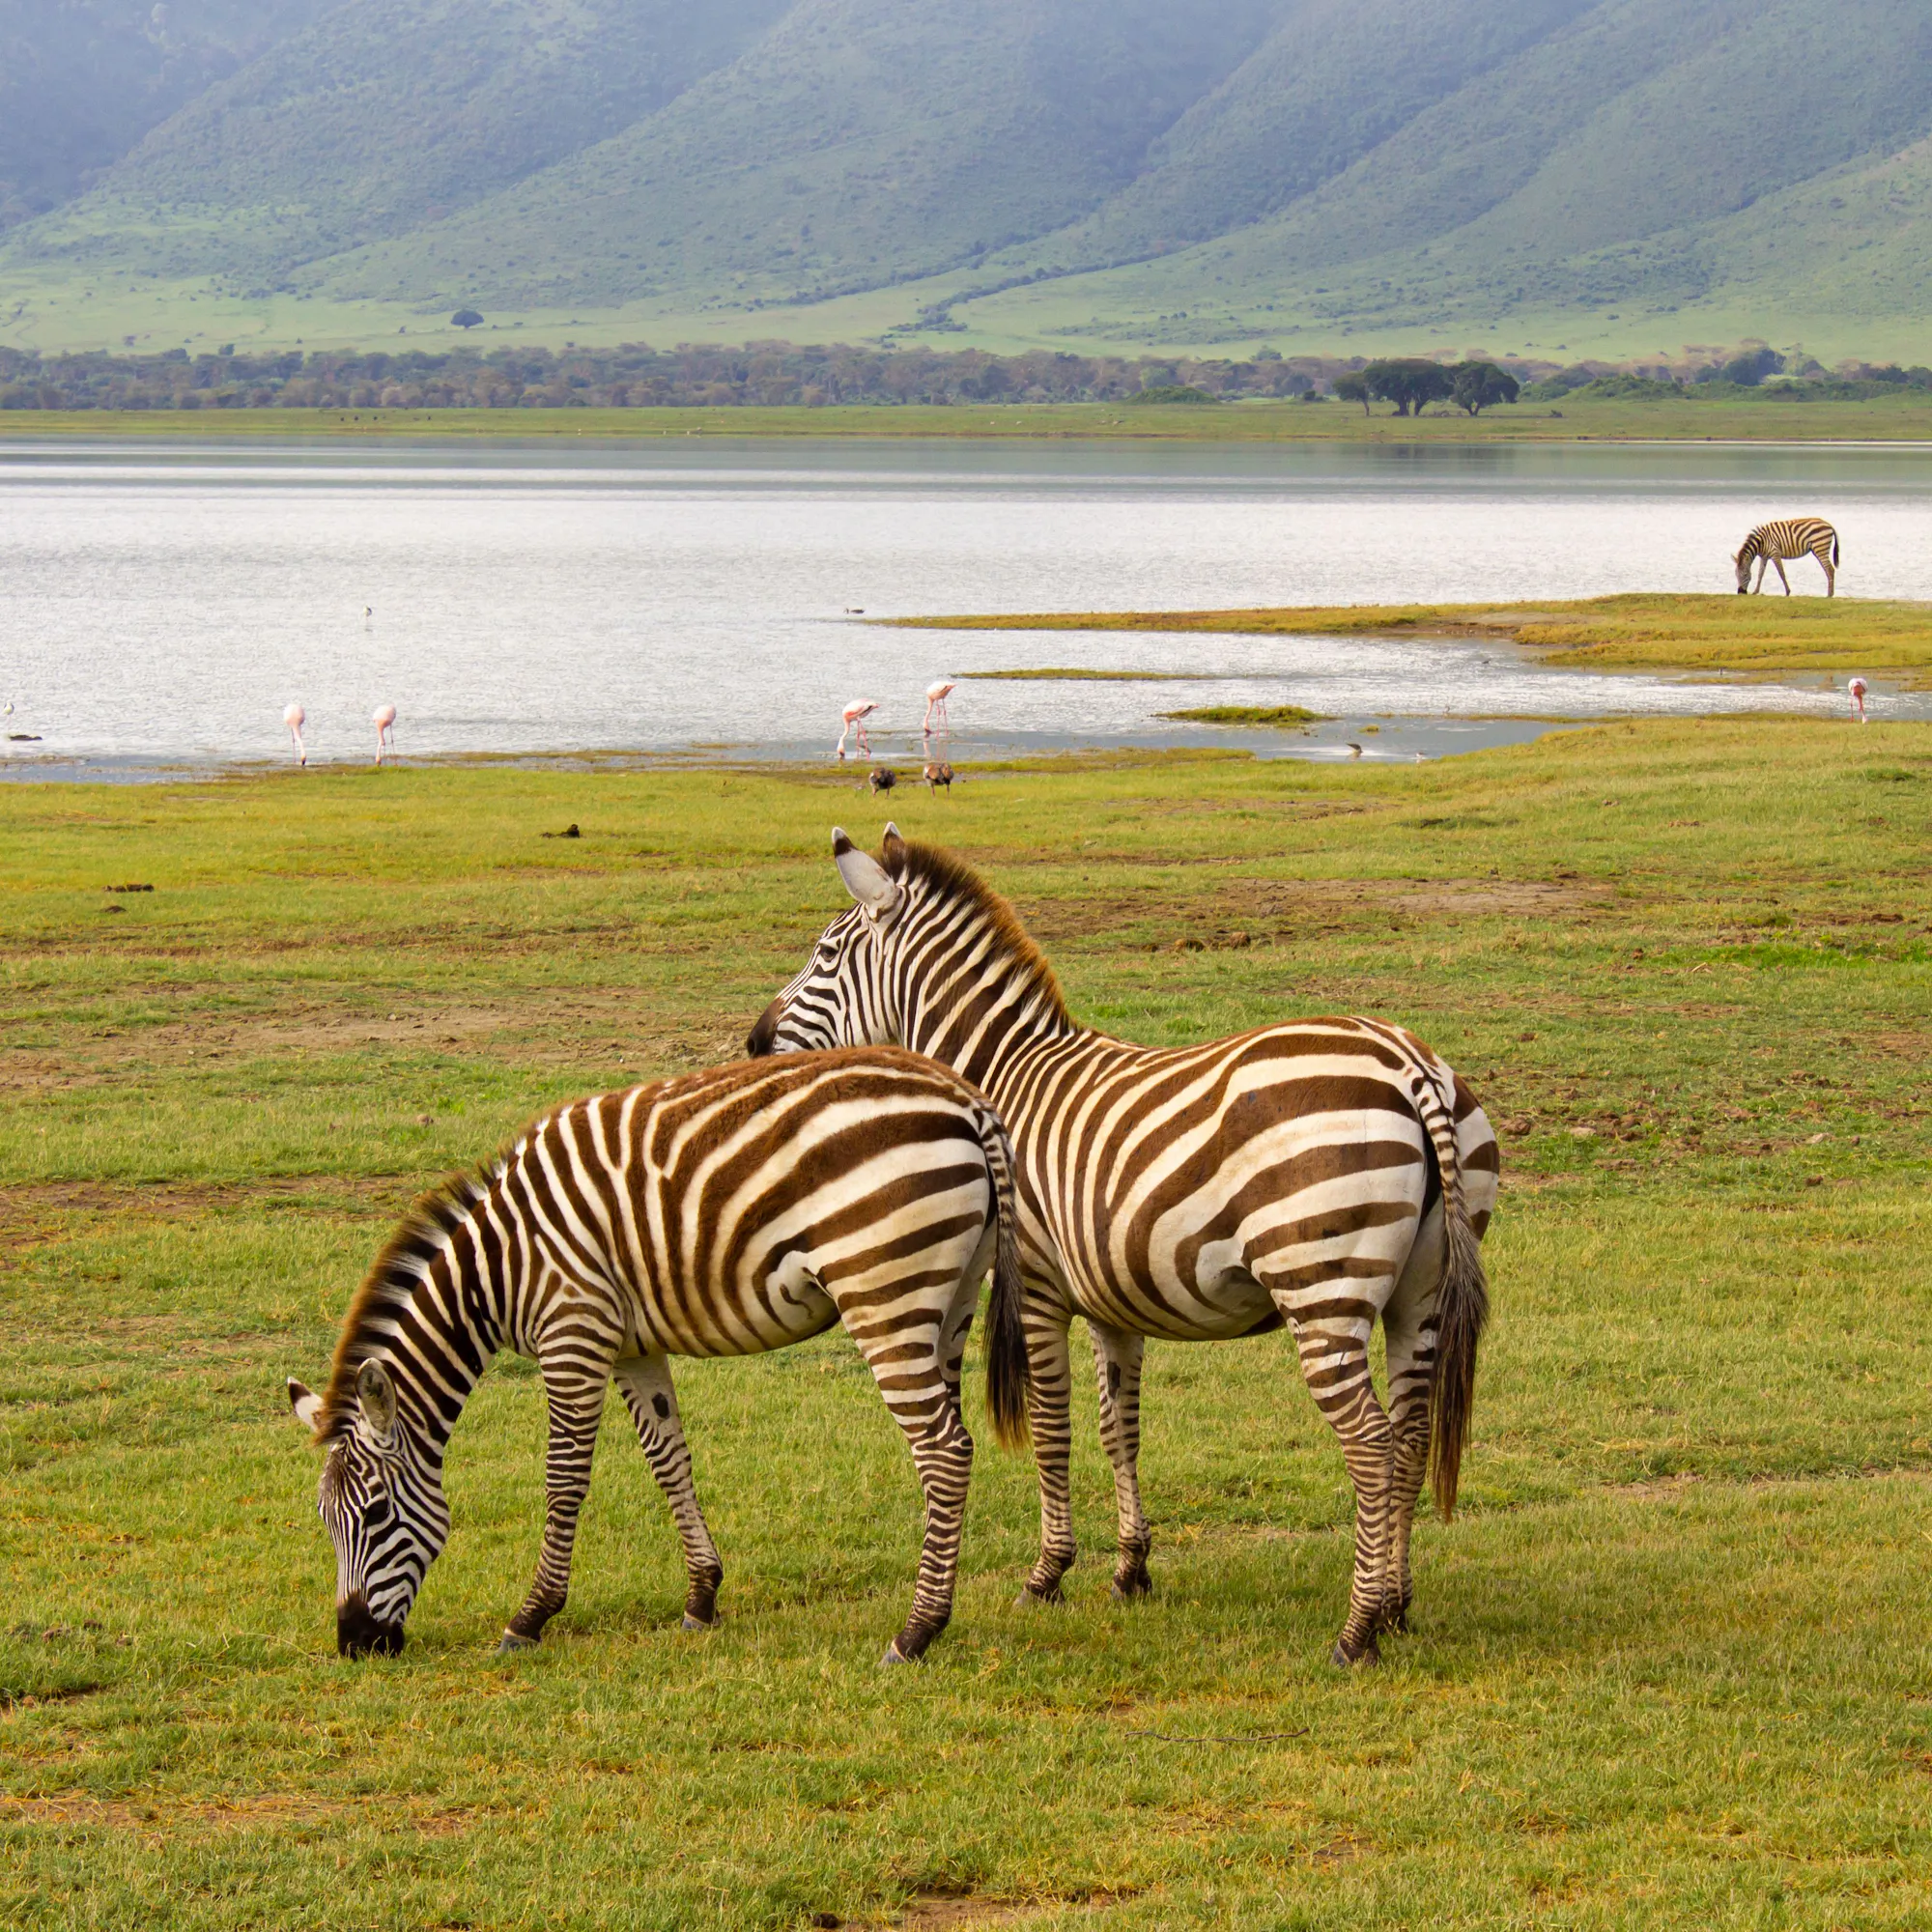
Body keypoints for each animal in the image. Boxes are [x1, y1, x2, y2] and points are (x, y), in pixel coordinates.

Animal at [285, 1048, 1030, 1665]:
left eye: (376, 1515)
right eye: (324, 1521)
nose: (356, 1644)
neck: (497, 1267)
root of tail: (969, 1103)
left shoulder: (573, 1332)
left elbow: (563, 1479)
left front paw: (530, 1618)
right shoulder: (631, 1348)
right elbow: (668, 1460)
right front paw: (702, 1596)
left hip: (883, 1290)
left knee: (943, 1450)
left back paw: (915, 1633)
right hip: (953, 1297)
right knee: (953, 1444)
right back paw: (935, 1612)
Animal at [747, 828, 1499, 1666]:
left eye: (824, 952)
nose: (754, 1042)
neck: (1002, 1076)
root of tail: (1409, 1064)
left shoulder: (1038, 1287)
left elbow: (1051, 1429)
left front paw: (1047, 1575)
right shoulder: (1116, 1300)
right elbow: (1121, 1431)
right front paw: (1131, 1568)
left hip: (1323, 1287)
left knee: (1370, 1441)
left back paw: (1358, 1628)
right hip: (1418, 1294)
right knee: (1409, 1433)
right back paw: (1397, 1606)